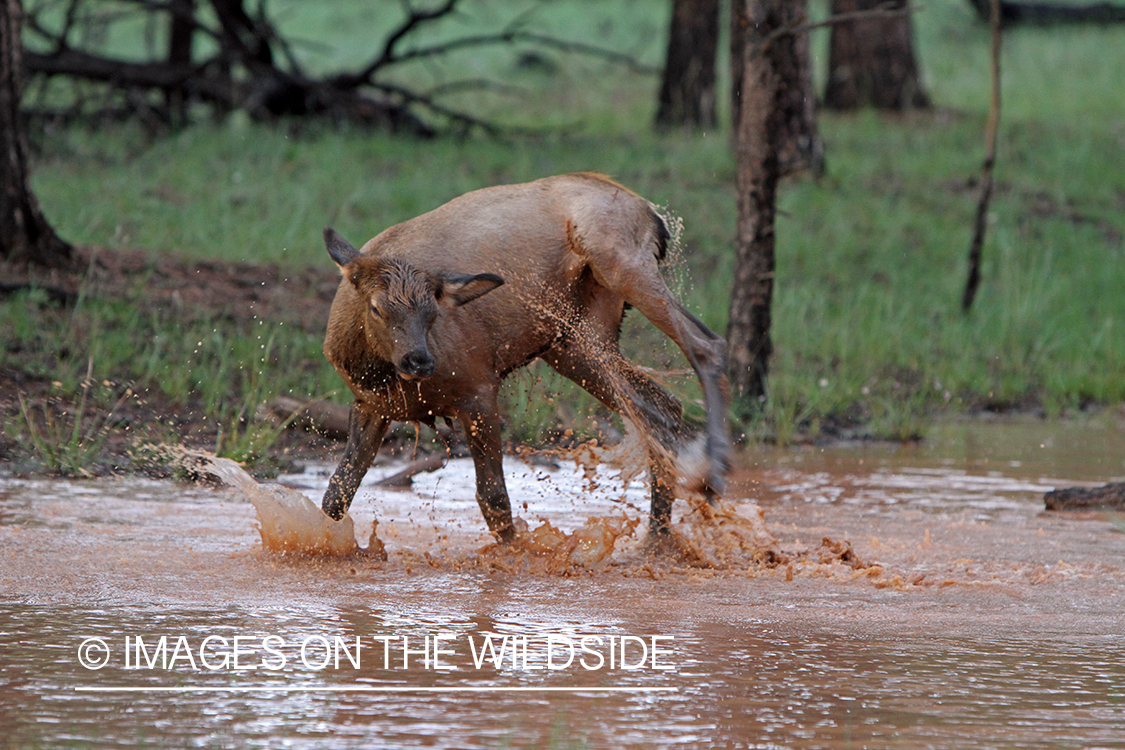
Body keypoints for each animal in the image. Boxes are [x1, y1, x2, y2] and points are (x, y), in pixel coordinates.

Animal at [324, 174, 729, 546]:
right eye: (376, 308)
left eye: (433, 311)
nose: (418, 361)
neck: (376, 371)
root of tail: (652, 214)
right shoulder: (370, 404)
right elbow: (337, 493)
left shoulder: (480, 388)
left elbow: (494, 499)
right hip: (575, 339)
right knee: (659, 405)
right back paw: (658, 536)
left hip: (617, 260)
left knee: (706, 345)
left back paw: (713, 475)